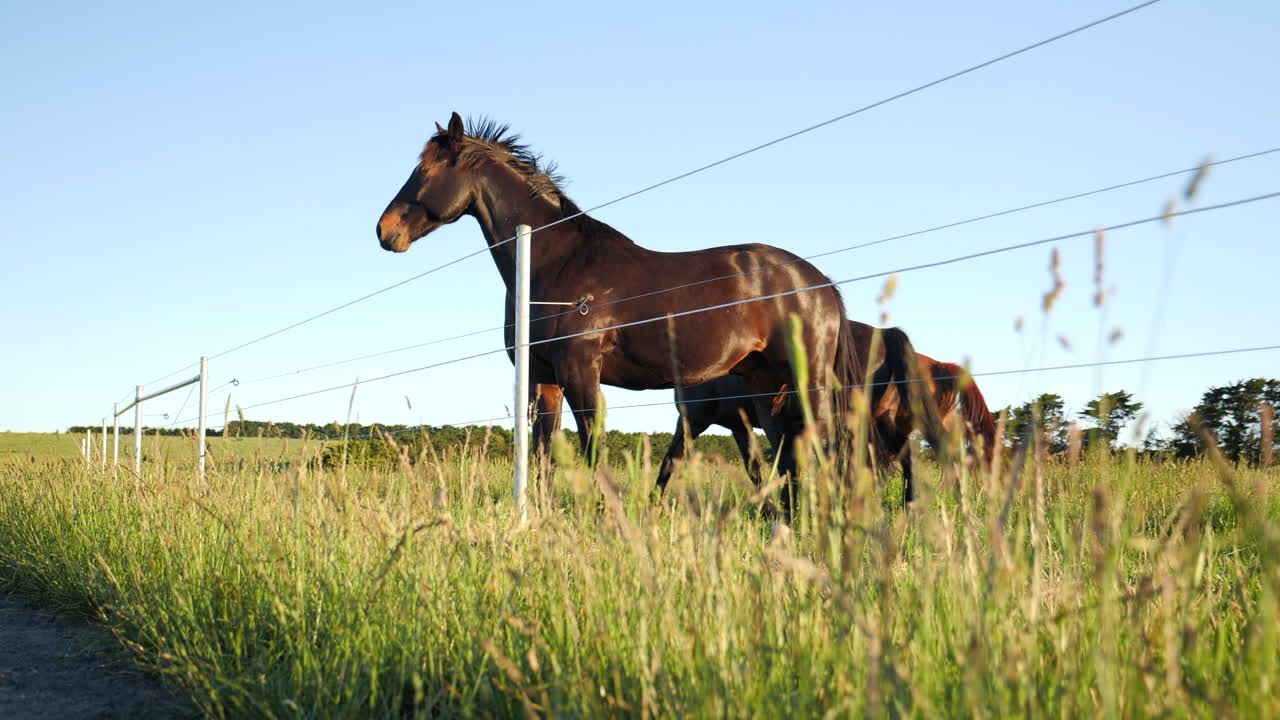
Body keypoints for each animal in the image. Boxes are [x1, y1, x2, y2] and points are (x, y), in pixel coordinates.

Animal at [655, 320, 997, 505]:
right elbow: (756, 469)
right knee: (902, 463)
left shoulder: (692, 419)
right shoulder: (740, 426)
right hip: (886, 424)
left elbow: (669, 461)